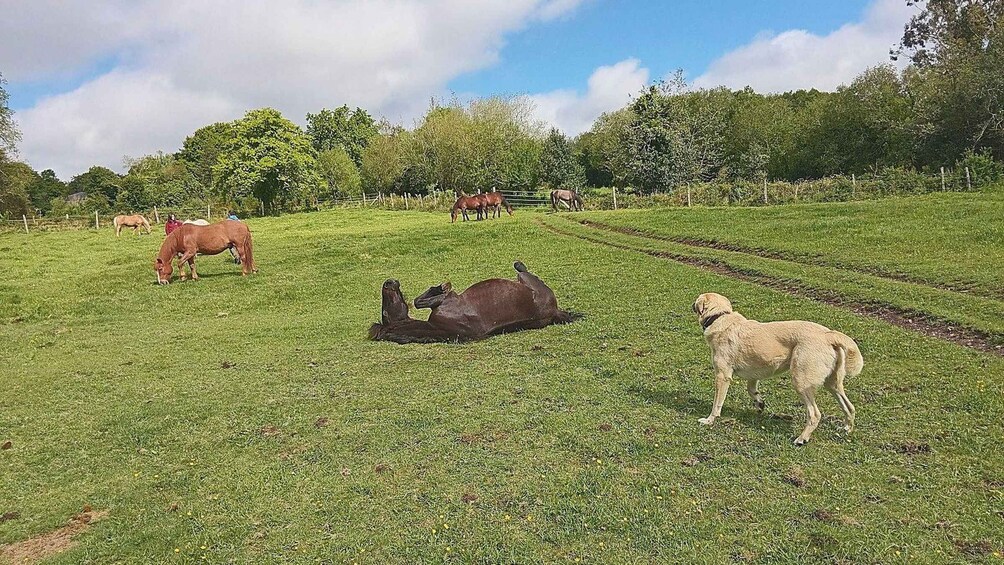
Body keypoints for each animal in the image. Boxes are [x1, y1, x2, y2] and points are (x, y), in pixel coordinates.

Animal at [369, 261, 580, 343]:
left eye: (385, 305)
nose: (390, 282)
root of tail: (554, 311)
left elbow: (419, 301)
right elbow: (419, 301)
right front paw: (441, 287)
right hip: (528, 281)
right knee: (523, 270)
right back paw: (519, 263)